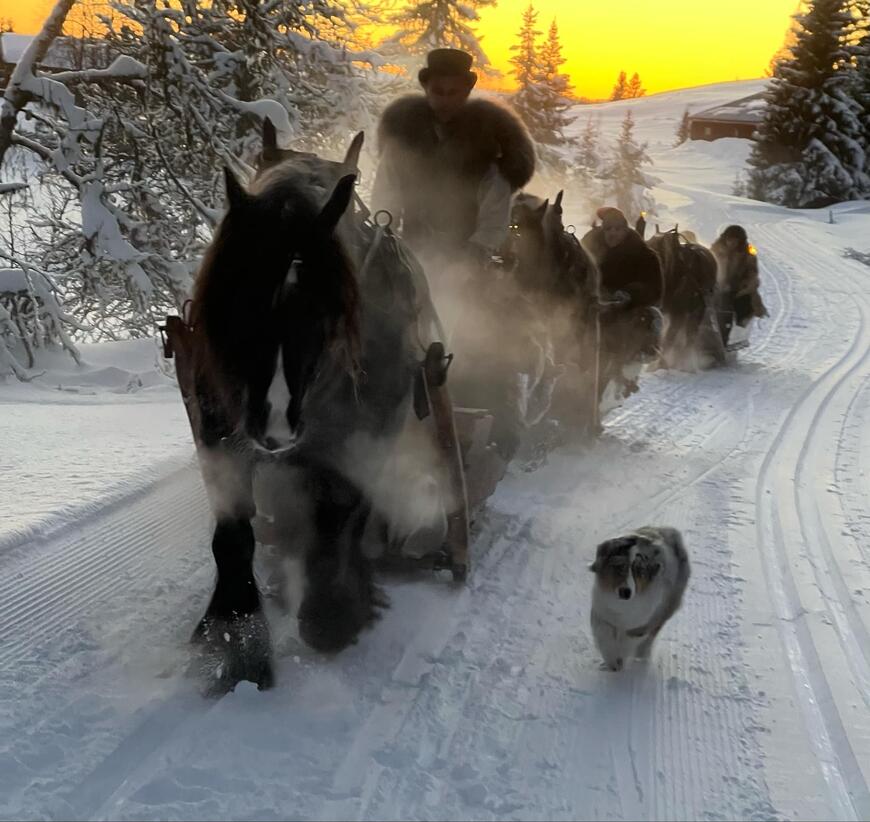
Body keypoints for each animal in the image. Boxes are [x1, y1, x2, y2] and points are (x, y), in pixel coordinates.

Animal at [186, 130, 426, 696]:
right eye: (241, 304)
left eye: (320, 314)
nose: (274, 428)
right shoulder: (219, 434)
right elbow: (232, 535)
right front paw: (237, 642)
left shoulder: (365, 438)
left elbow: (339, 517)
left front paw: (332, 614)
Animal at [648, 224, 728, 368]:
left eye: (659, 251)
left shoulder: (680, 313)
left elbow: (670, 337)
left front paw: (663, 363)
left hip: (695, 311)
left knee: (688, 334)